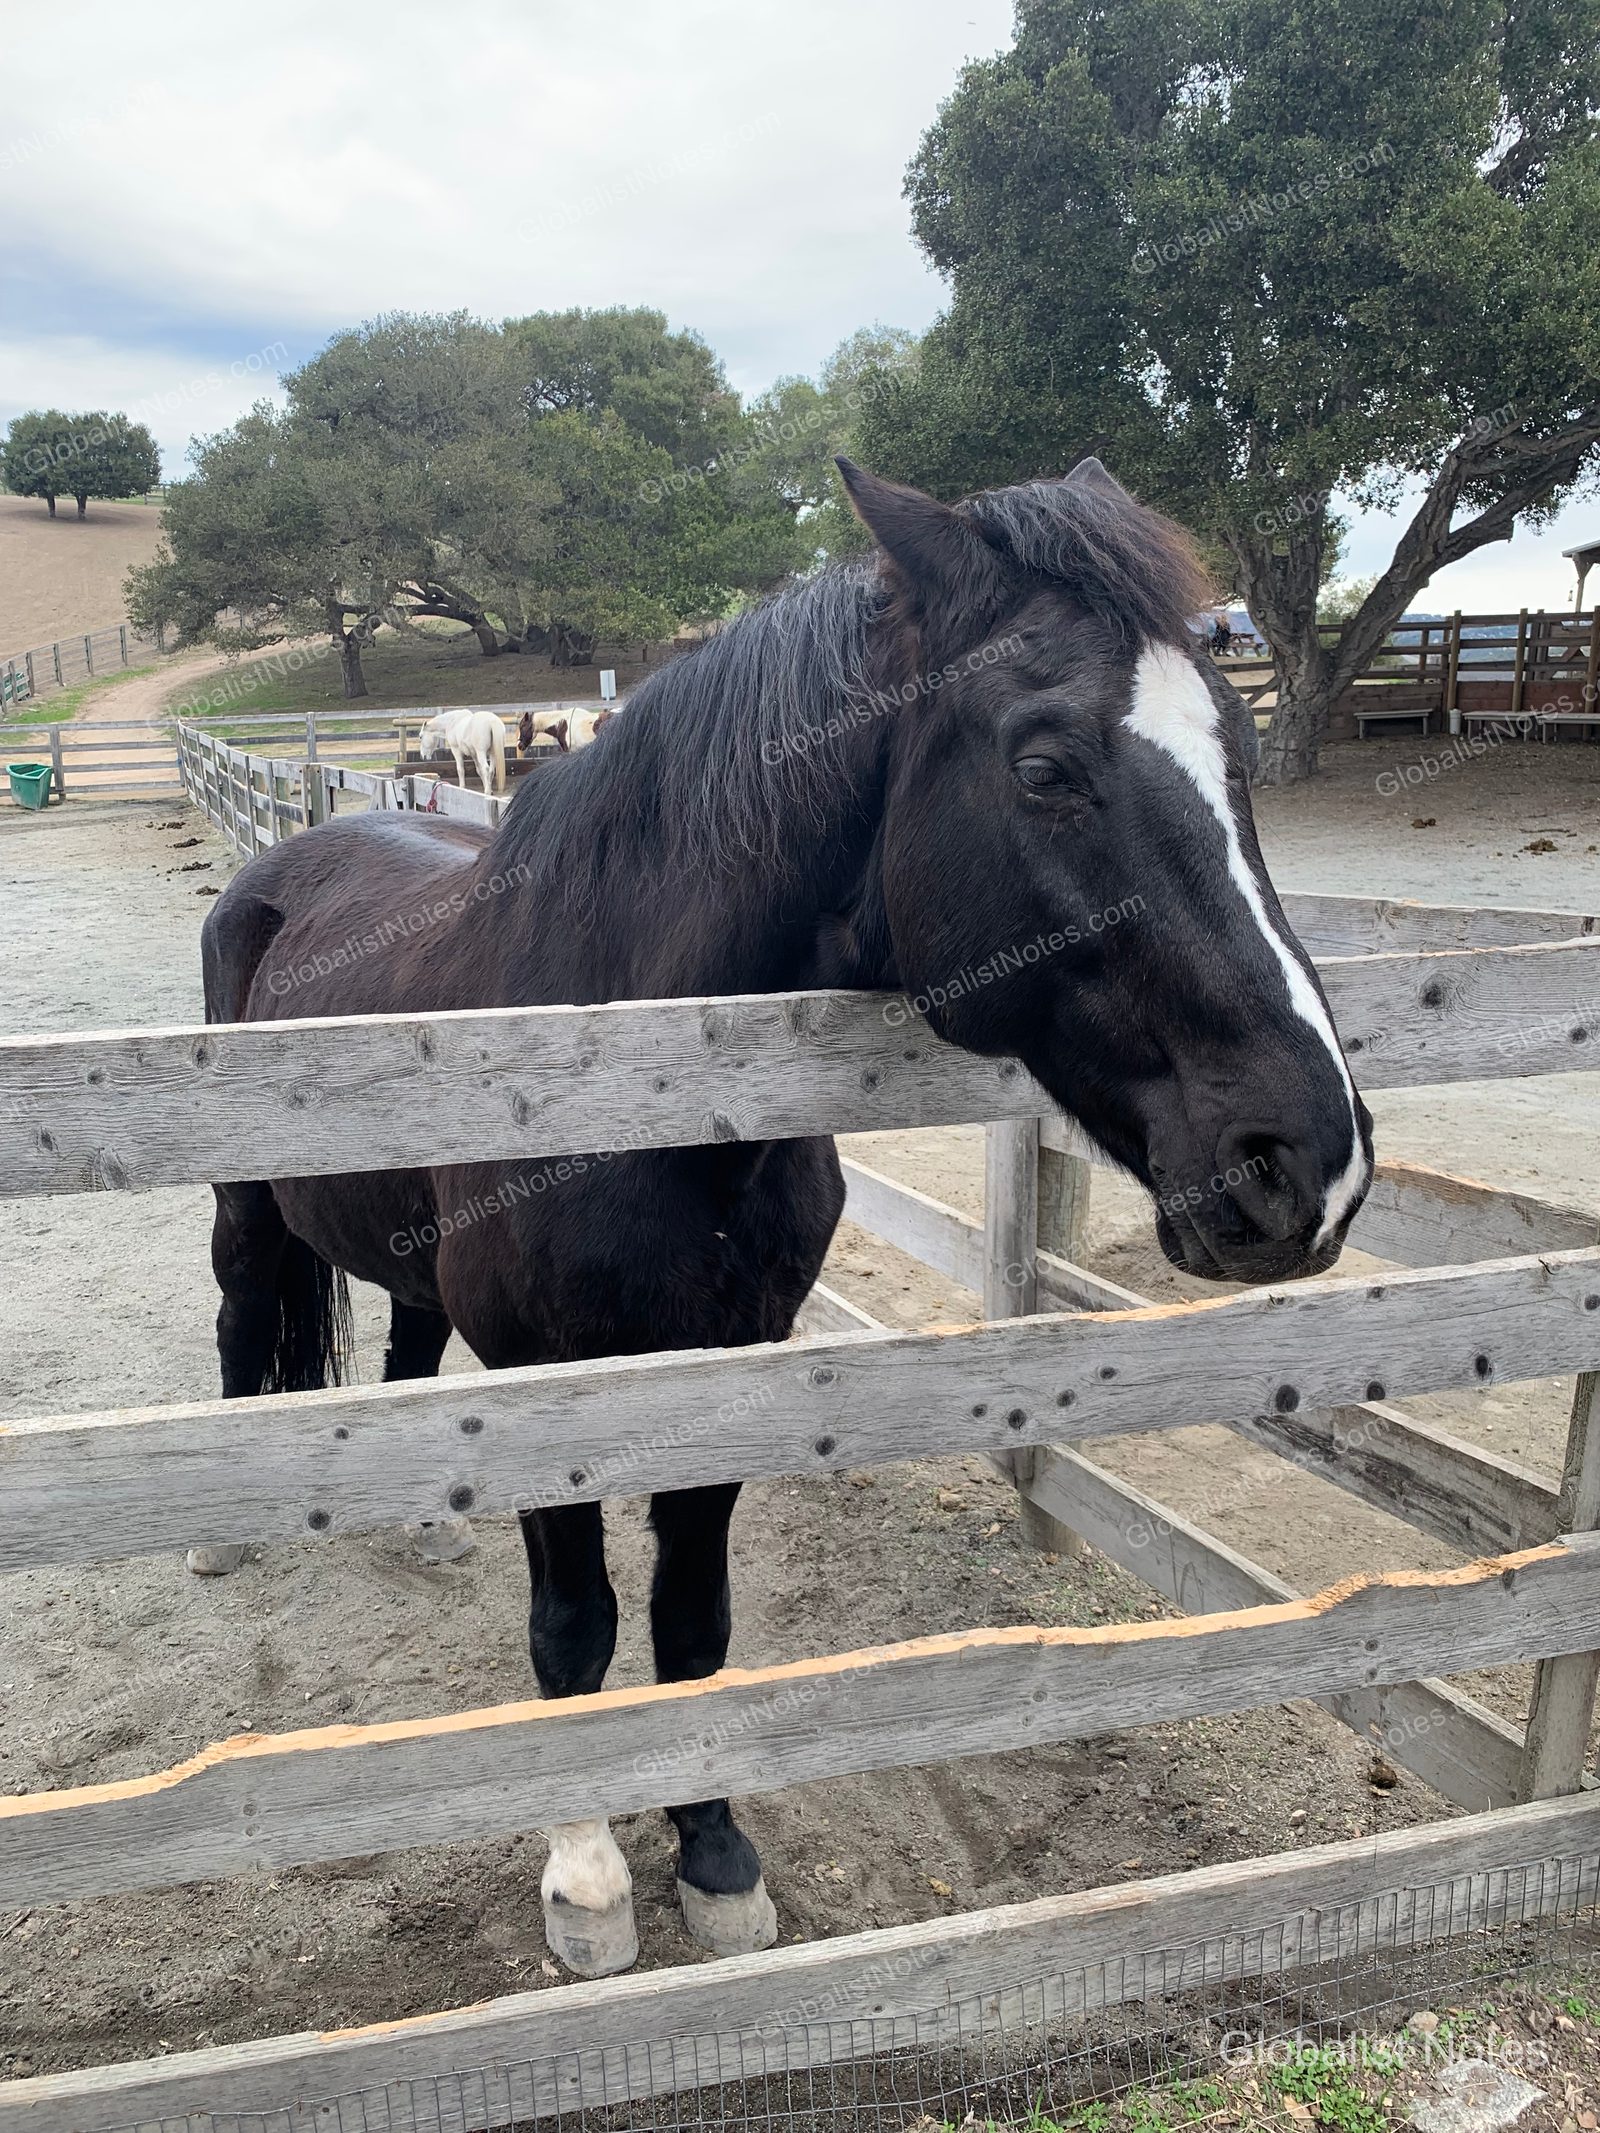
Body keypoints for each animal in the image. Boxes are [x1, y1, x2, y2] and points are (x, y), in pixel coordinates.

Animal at [197, 457, 1373, 1979]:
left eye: (1238, 752)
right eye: (1043, 768)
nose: (1307, 1163)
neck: (624, 1061)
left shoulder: (735, 1361)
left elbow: (692, 1624)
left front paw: (711, 1853)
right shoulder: (547, 1380)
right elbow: (575, 1630)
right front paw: (586, 1883)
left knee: (402, 1343)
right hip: (242, 1210)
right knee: (242, 1316)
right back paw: (222, 1532)